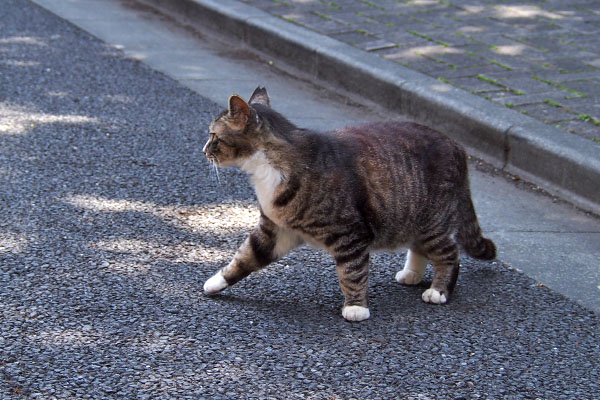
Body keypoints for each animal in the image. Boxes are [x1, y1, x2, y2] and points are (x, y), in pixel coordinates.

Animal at [203, 86, 496, 322]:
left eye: (213, 135)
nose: (204, 150)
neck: (267, 168)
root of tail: (457, 146)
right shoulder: (275, 230)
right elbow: (245, 257)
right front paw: (216, 282)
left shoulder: (350, 233)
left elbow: (352, 272)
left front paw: (356, 307)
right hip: (411, 216)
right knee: (419, 247)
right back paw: (411, 274)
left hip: (432, 222)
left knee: (450, 254)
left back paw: (438, 290)